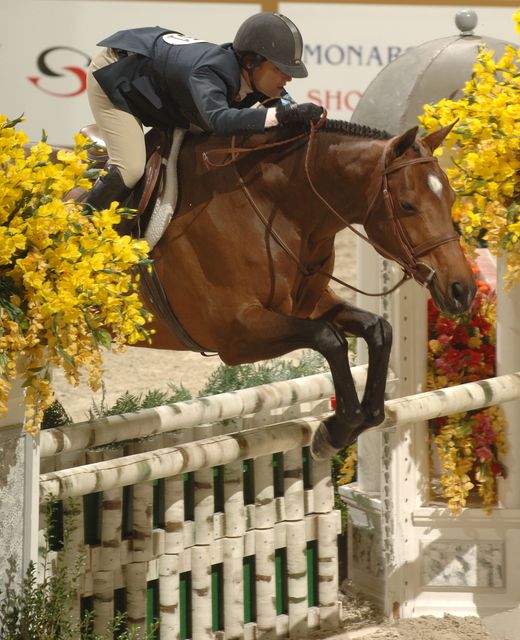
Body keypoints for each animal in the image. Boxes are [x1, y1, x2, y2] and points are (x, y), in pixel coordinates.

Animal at [83, 116, 478, 460]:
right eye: (408, 204)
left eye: (451, 197)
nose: (463, 290)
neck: (279, 210)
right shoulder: (235, 334)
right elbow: (328, 338)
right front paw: (337, 430)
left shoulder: (309, 304)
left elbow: (379, 329)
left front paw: (364, 417)